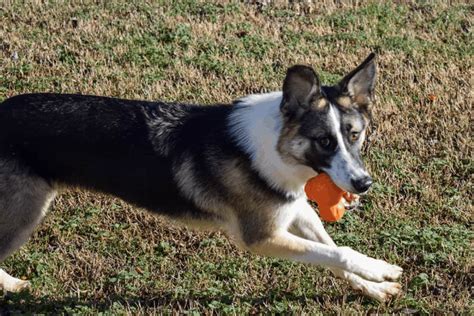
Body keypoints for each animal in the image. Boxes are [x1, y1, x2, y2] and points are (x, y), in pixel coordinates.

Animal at [0, 53, 404, 302]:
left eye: (355, 135)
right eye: (324, 141)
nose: (363, 184)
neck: (277, 148)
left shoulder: (295, 211)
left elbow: (333, 252)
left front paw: (372, 285)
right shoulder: (261, 237)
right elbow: (341, 252)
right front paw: (382, 268)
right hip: (24, 214)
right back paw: (12, 284)